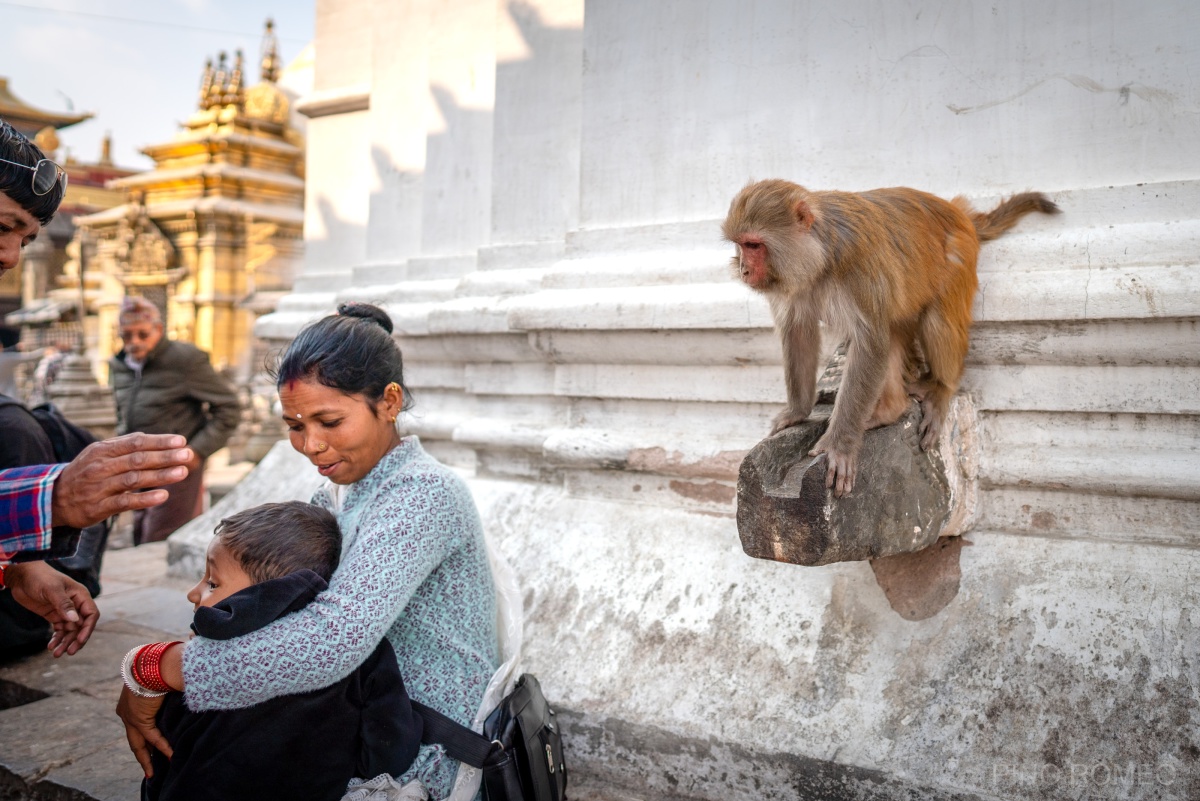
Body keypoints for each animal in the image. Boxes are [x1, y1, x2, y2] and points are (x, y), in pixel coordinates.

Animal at [724, 178, 1056, 496]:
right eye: (740, 245)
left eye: (753, 245)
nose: (743, 269)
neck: (819, 256)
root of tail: (956, 210)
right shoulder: (794, 288)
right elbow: (798, 334)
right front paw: (797, 412)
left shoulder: (861, 268)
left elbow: (870, 342)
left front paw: (840, 446)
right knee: (894, 327)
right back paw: (889, 409)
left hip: (959, 256)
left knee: (935, 322)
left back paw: (942, 389)